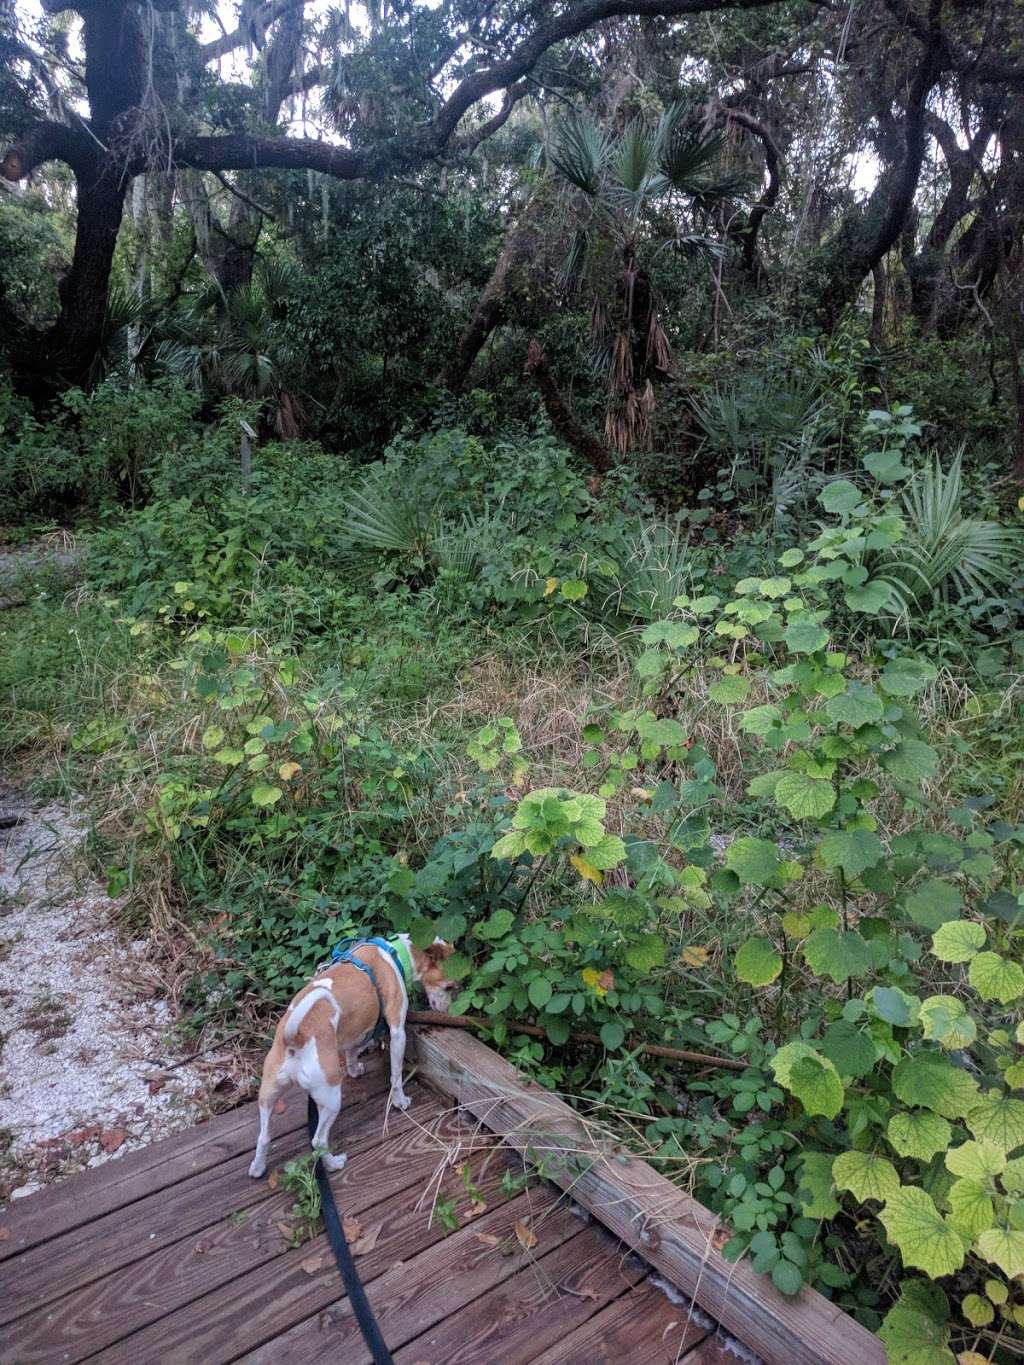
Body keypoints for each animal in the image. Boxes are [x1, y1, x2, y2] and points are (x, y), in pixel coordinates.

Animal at [248, 933, 456, 1179]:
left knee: (263, 1137)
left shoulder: (355, 1028)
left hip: (268, 1094)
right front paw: (400, 1101)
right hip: (331, 1099)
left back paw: (258, 1168)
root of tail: (294, 1038)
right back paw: (334, 1163)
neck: (393, 953)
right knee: (318, 1141)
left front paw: (354, 1070)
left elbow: (351, 1051)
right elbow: (395, 1075)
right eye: (450, 986)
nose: (448, 1011)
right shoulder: (397, 1032)